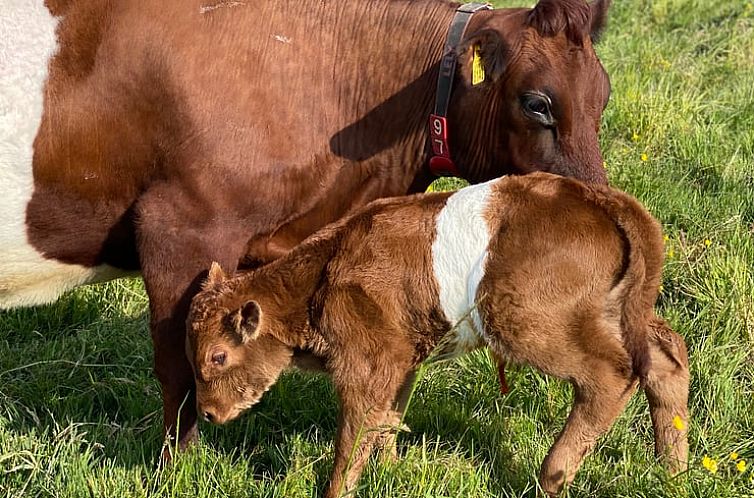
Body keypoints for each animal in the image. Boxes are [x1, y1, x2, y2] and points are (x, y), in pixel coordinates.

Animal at [0, 0, 608, 452]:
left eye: (602, 97)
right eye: (538, 103)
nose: (592, 206)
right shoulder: (179, 228)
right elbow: (181, 367)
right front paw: (178, 468)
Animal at [185, 173, 684, 496]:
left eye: (217, 356)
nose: (208, 413)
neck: (318, 279)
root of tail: (600, 198)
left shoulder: (368, 362)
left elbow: (355, 434)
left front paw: (338, 489)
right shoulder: (401, 358)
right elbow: (388, 420)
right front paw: (390, 470)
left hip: (523, 318)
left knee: (612, 373)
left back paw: (553, 476)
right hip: (620, 312)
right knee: (666, 355)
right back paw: (673, 470)